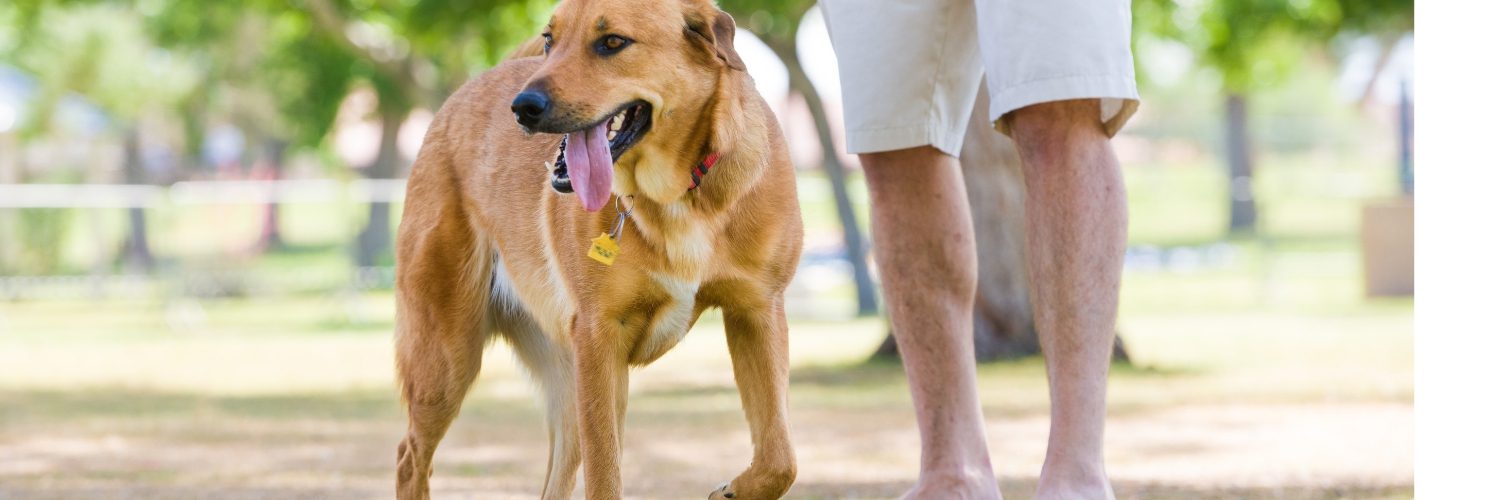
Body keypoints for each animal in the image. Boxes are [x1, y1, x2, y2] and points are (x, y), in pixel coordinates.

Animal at [393, 0, 804, 495]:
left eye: (612, 42)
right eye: (549, 40)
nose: (523, 107)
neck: (679, 196)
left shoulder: (757, 311)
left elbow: (781, 457)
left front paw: (734, 491)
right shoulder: (600, 336)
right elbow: (605, 477)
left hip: (567, 384)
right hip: (446, 358)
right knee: (410, 458)